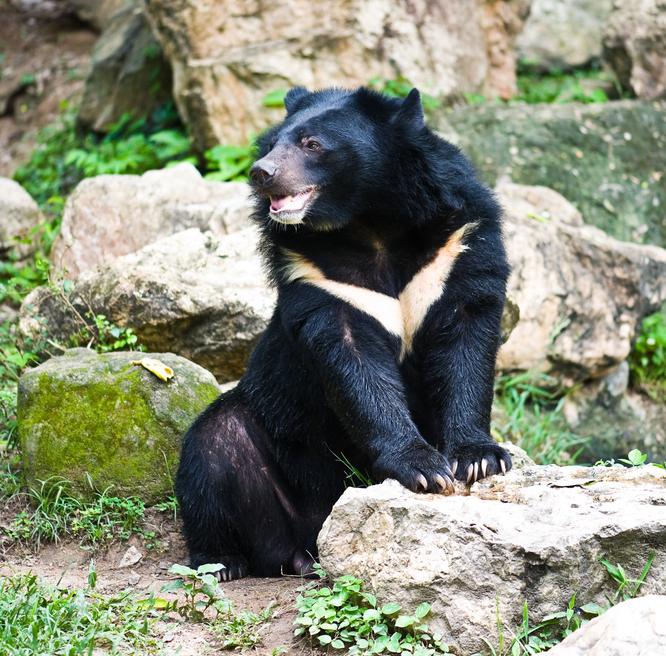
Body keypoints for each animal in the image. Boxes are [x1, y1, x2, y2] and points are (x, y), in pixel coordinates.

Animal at [175, 86, 508, 580]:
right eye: (271, 143)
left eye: (313, 144)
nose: (261, 173)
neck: (370, 223)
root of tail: (307, 543)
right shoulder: (316, 276)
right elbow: (355, 365)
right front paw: (424, 469)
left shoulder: (459, 247)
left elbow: (466, 343)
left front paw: (479, 459)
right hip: (271, 433)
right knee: (211, 455)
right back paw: (222, 561)